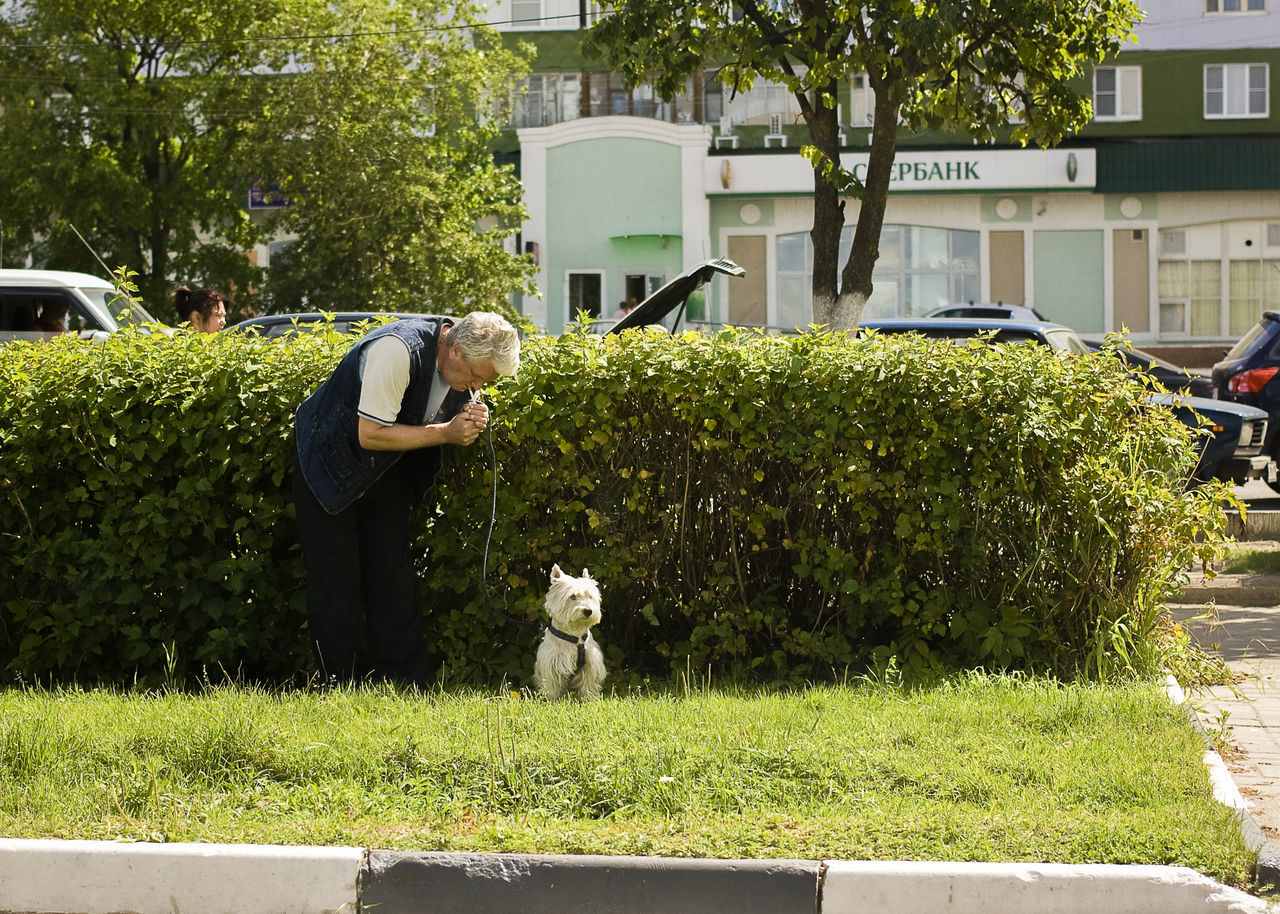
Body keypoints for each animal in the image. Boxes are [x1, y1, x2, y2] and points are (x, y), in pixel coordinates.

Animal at [535, 563, 604, 696]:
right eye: (572, 596)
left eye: (590, 596)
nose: (588, 611)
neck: (574, 635)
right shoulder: (551, 662)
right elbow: (552, 684)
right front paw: (551, 698)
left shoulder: (591, 662)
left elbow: (589, 682)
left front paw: (590, 698)